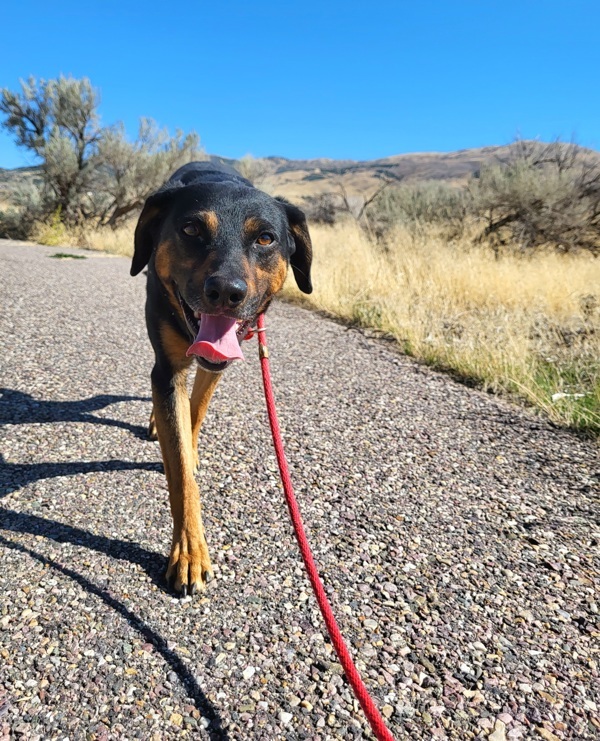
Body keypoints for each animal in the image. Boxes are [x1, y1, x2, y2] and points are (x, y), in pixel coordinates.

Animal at [131, 162, 314, 596]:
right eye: (191, 229)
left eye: (265, 238)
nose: (226, 292)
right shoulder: (166, 369)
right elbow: (180, 470)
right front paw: (189, 552)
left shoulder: (215, 365)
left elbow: (194, 414)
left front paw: (191, 444)